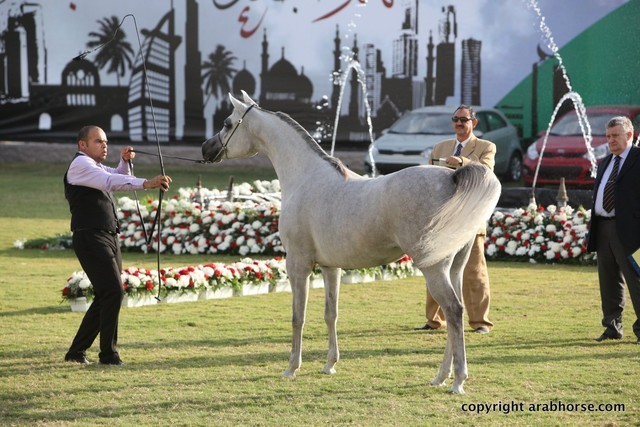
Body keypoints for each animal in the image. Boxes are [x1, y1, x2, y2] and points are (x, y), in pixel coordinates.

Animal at [202, 91, 501, 394]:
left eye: (227, 123)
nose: (206, 148)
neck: (307, 178)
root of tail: (452, 176)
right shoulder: (330, 267)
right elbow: (330, 313)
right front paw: (329, 364)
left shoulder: (298, 264)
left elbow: (298, 316)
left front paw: (291, 368)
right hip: (455, 268)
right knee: (456, 312)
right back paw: (441, 376)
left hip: (434, 269)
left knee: (453, 310)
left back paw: (458, 380)